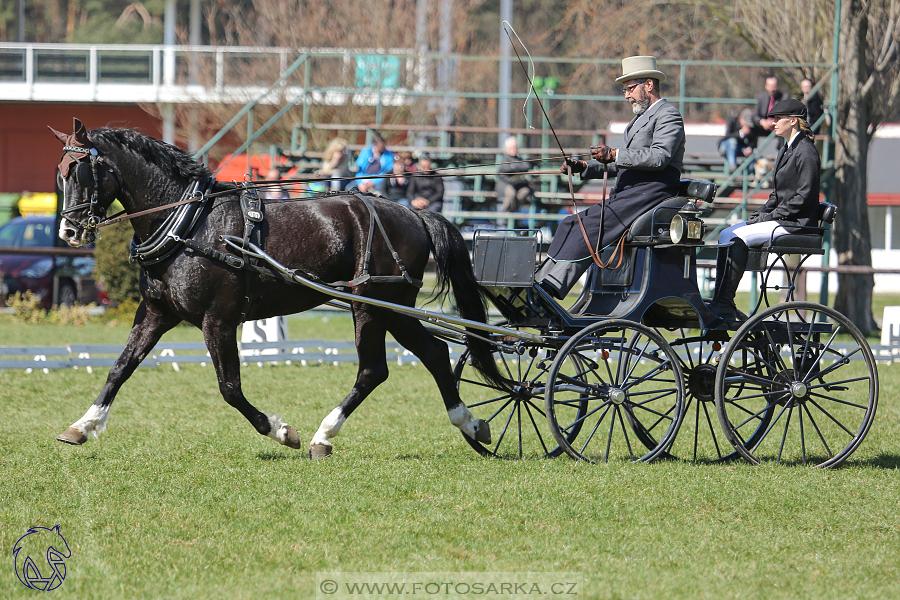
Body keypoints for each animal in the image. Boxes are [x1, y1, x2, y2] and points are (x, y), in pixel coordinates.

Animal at [51, 119, 500, 458]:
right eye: (61, 173)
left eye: (82, 171)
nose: (69, 232)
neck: (189, 222)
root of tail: (413, 214)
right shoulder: (157, 314)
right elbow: (121, 367)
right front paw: (83, 425)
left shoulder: (218, 320)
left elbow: (230, 388)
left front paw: (281, 431)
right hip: (393, 307)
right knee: (433, 353)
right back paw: (469, 424)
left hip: (372, 303)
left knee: (374, 369)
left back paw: (323, 435)